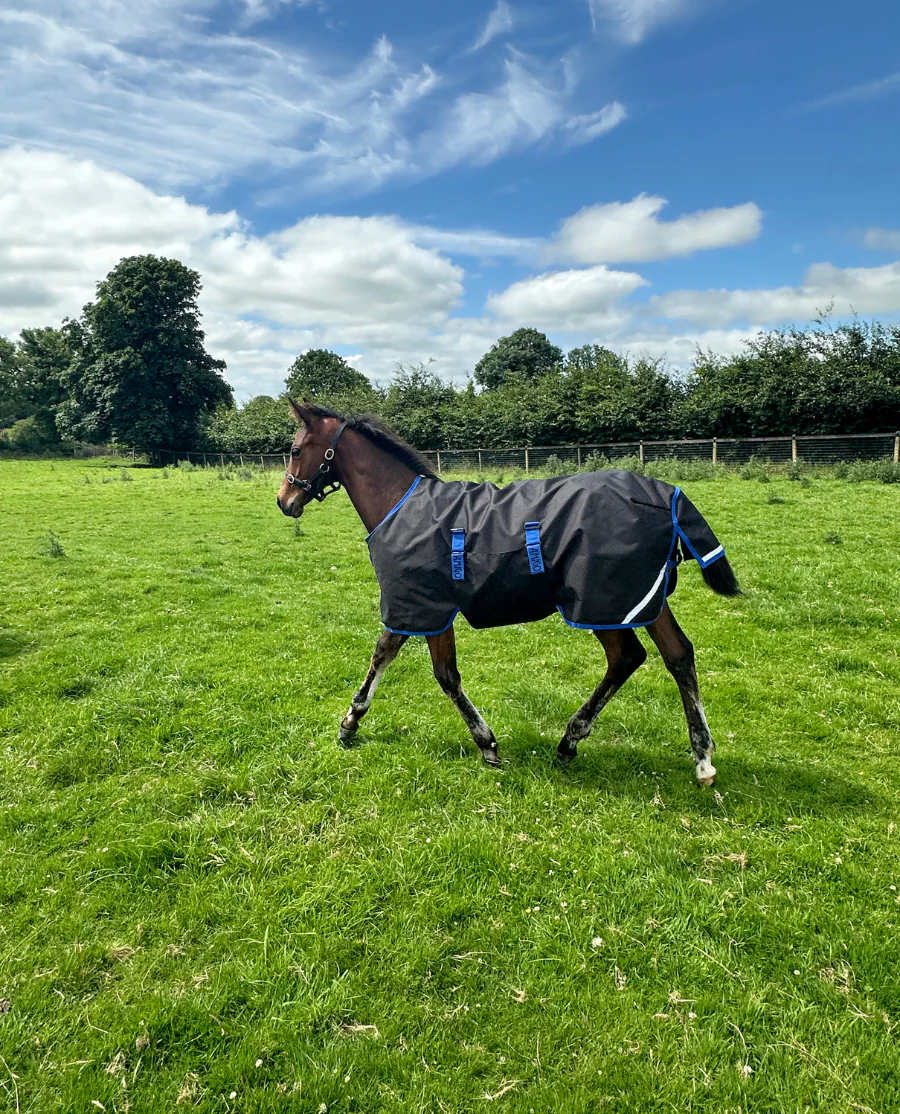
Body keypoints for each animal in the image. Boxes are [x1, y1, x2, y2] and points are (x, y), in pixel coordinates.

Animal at [276, 400, 740, 786]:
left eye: (296, 450)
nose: (284, 500)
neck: (400, 506)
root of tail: (666, 494)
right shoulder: (419, 608)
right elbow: (394, 657)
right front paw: (352, 722)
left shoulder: (424, 607)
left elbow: (435, 672)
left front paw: (485, 743)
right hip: (642, 600)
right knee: (678, 655)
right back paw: (701, 758)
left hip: (599, 603)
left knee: (627, 656)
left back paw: (572, 740)